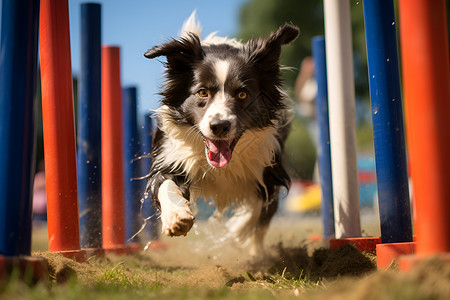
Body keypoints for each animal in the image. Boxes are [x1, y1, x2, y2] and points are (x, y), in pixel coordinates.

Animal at [144, 12, 298, 254]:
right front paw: (177, 217)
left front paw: (239, 234)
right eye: (202, 92)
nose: (219, 126)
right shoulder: (172, 155)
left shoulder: (270, 170)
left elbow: (258, 213)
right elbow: (165, 184)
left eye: (242, 94)